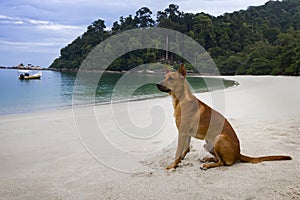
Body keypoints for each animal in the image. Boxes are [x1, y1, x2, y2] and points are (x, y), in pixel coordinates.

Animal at [156, 63, 292, 170]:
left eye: (171, 78)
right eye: (164, 77)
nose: (157, 84)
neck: (181, 100)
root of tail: (238, 153)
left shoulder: (182, 132)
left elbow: (178, 152)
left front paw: (173, 165)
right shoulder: (186, 133)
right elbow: (185, 149)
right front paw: (179, 162)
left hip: (218, 138)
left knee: (222, 162)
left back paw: (207, 165)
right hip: (208, 143)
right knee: (218, 159)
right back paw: (208, 159)